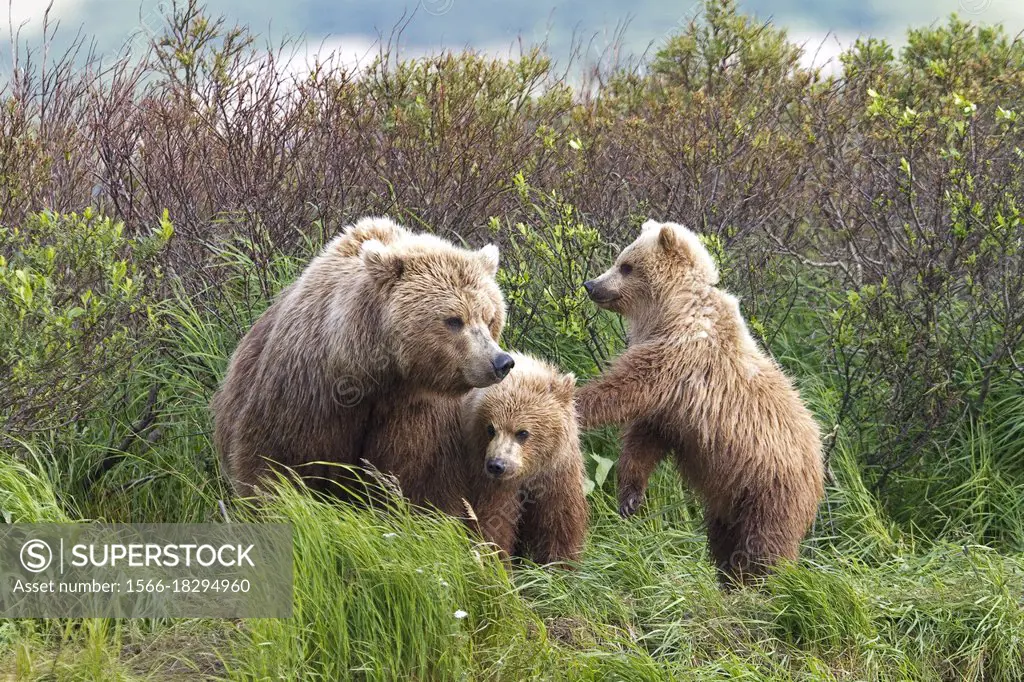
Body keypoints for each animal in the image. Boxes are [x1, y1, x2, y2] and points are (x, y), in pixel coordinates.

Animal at [209, 216, 512, 493]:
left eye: (489, 318)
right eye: (454, 320)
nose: (501, 362)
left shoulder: (415, 418)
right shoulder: (304, 395)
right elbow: (274, 462)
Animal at [581, 220, 819, 581]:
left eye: (626, 266)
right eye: (619, 259)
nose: (591, 284)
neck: (670, 310)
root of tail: (819, 461)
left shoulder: (680, 356)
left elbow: (627, 386)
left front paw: (575, 400)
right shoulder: (673, 407)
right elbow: (644, 440)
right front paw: (630, 499)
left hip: (770, 489)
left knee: (765, 544)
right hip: (730, 497)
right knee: (724, 539)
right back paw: (729, 578)